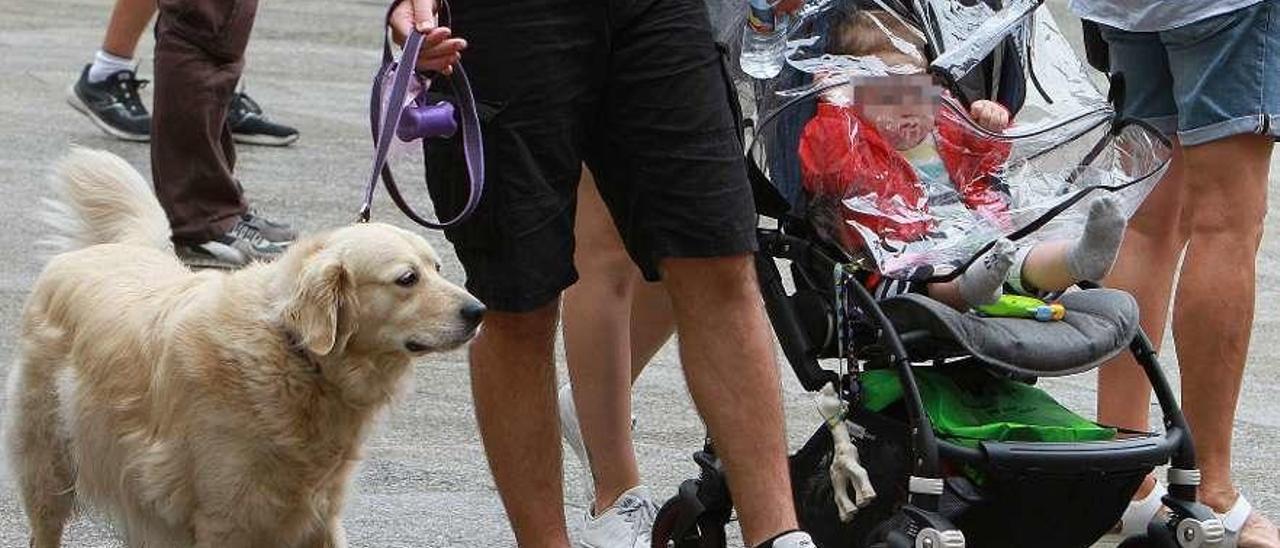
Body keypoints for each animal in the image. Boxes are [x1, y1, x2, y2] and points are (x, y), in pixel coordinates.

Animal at [6, 147, 483, 545]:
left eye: (438, 268)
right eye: (407, 279)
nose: (478, 311)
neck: (295, 354)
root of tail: (109, 249)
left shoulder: (318, 513)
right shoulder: (226, 518)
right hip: (49, 466)